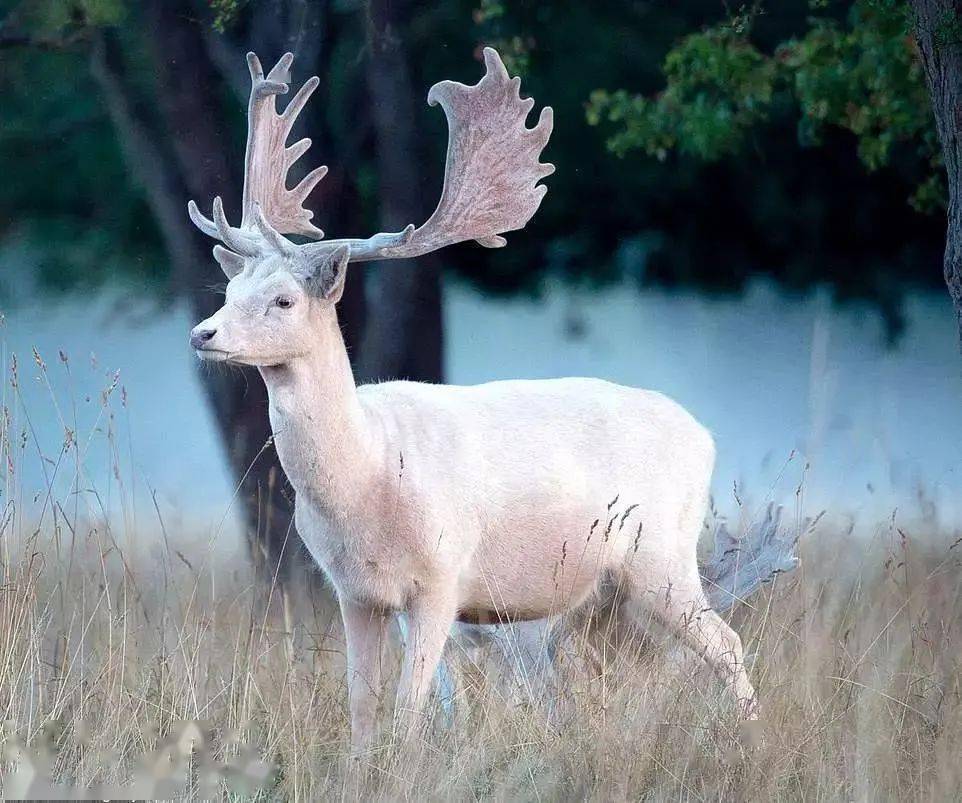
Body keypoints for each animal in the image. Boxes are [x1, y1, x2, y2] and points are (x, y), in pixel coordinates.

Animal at [188, 50, 756, 752]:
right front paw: (359, 762)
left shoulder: (441, 577)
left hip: (662, 553)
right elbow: (361, 707)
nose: (203, 334)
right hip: (604, 590)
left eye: (284, 300)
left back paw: (749, 735)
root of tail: (704, 435)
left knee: (726, 643)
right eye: (230, 289)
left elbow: (409, 709)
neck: (366, 475)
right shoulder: (353, 591)